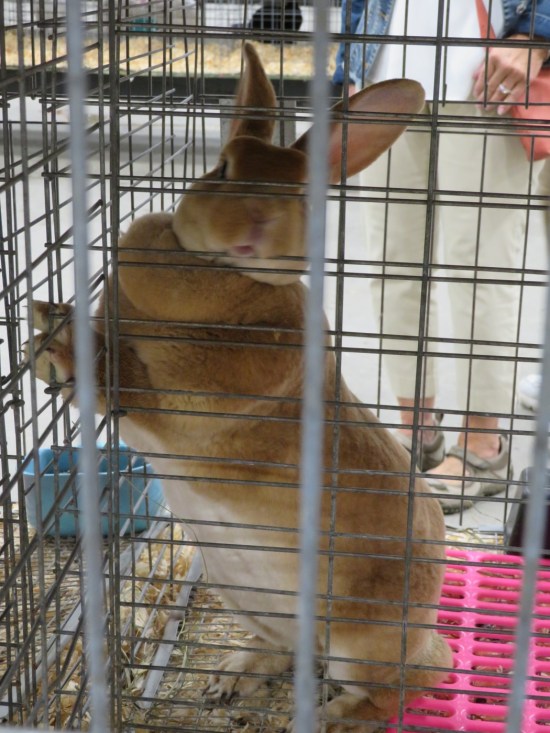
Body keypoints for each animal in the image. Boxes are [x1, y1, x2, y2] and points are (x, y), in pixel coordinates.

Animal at [29, 42, 452, 733]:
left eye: (302, 194)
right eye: (222, 168)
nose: (256, 224)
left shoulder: (190, 414)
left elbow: (126, 387)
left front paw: (59, 352)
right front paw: (50, 316)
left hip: (359, 646)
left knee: (404, 686)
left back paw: (329, 716)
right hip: (249, 600)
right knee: (289, 653)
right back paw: (230, 678)